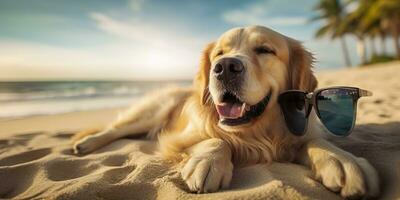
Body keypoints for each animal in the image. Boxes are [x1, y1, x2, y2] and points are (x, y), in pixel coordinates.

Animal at [72, 25, 382, 198]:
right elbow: (216, 139)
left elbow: (316, 141)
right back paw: (85, 143)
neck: (254, 131)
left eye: (264, 50)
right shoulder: (176, 139)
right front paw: (208, 162)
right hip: (153, 112)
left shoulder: (295, 136)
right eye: (219, 54)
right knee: (115, 128)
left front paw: (342, 160)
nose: (225, 67)